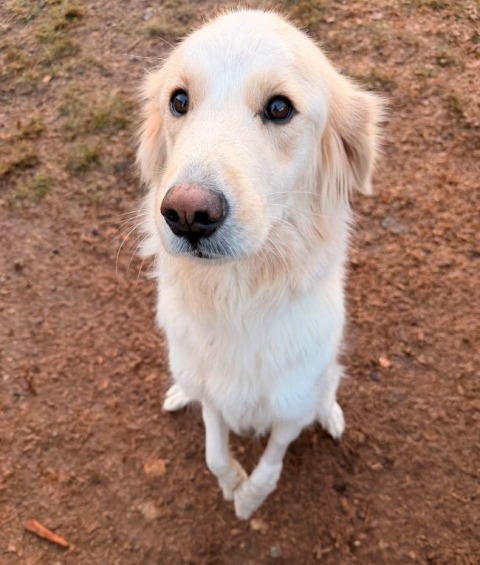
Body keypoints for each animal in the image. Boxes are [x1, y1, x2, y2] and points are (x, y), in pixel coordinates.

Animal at [136, 9, 383, 519]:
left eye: (279, 108)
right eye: (179, 100)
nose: (186, 213)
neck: (239, 300)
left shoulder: (290, 411)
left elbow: (272, 462)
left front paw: (249, 500)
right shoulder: (213, 396)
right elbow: (214, 449)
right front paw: (233, 483)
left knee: (329, 387)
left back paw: (330, 414)